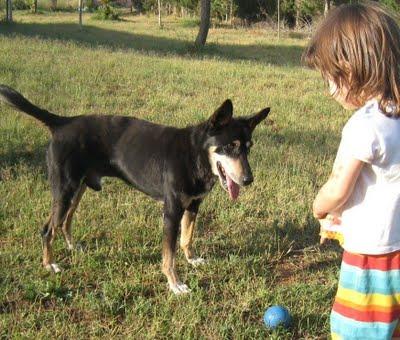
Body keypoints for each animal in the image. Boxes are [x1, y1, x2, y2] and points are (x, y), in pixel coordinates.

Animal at [0, 84, 270, 292]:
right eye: (230, 146)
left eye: (248, 147)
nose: (248, 179)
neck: (195, 155)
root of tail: (62, 123)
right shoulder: (171, 211)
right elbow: (169, 254)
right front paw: (175, 284)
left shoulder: (193, 205)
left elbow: (187, 237)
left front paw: (192, 259)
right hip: (65, 189)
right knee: (48, 228)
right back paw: (50, 264)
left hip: (78, 189)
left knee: (66, 220)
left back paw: (71, 246)